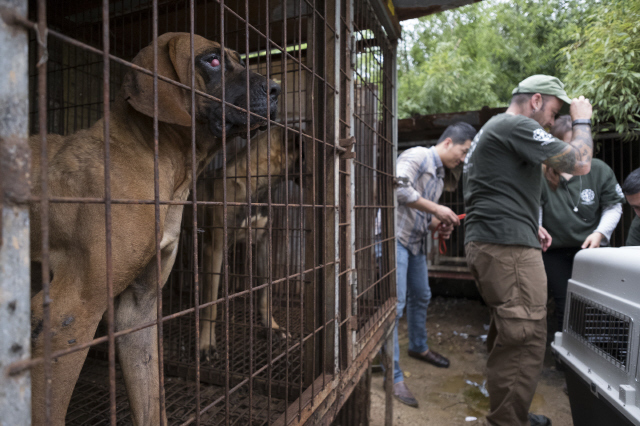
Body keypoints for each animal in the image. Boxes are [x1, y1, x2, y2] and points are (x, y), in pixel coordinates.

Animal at [28, 33, 280, 426]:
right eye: (212, 60)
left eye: (240, 59)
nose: (276, 89)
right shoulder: (66, 319)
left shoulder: (139, 309)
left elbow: (151, 402)